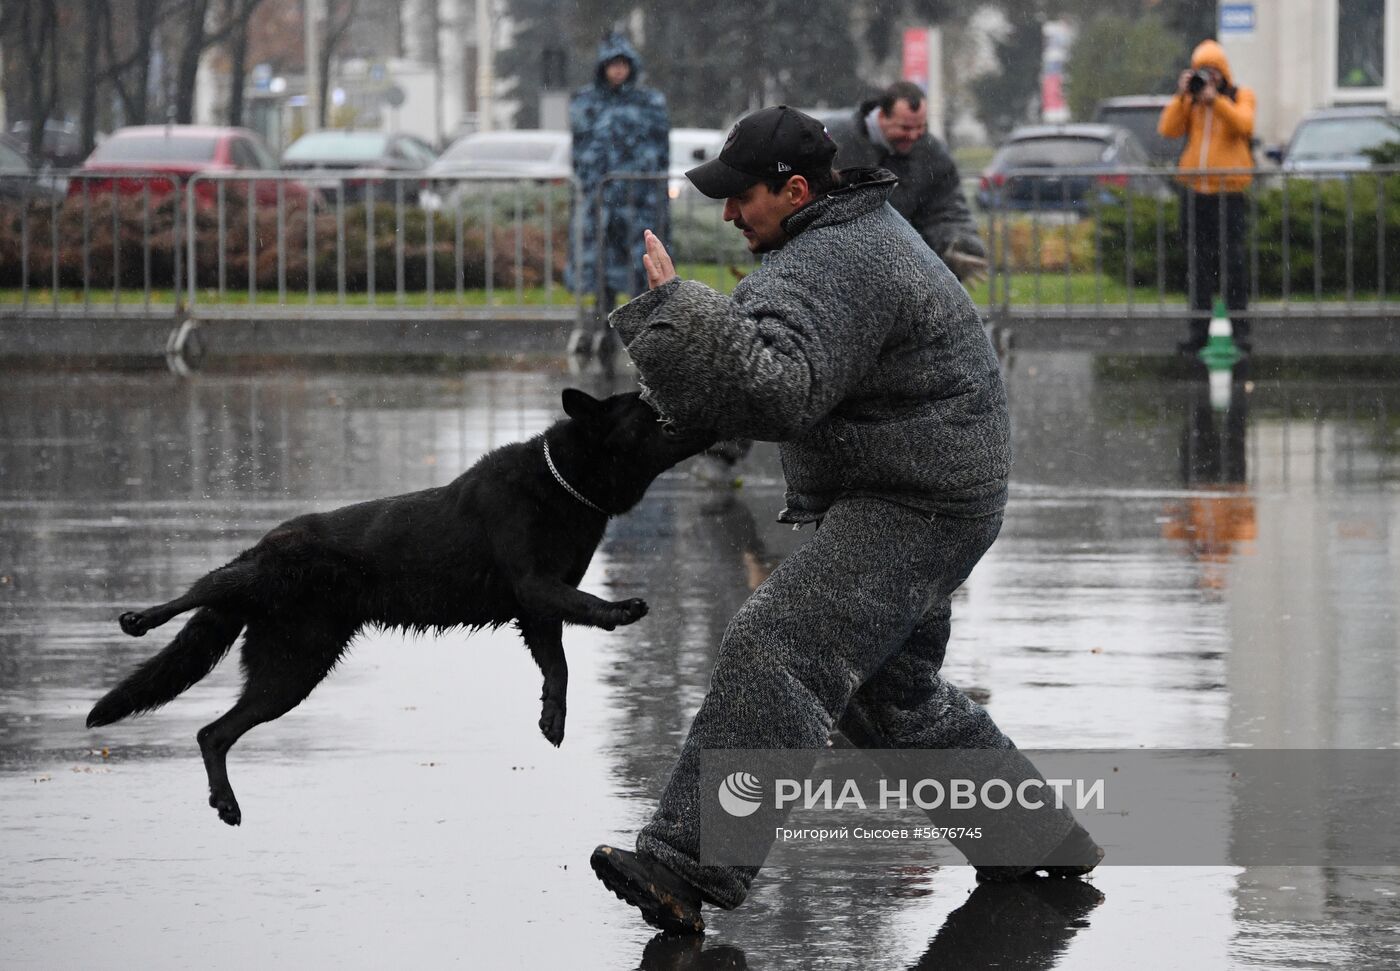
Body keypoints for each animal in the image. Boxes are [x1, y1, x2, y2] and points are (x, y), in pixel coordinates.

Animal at [90, 391, 711, 822]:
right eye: (646, 406)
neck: (565, 482)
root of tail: (270, 538)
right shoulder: (536, 588)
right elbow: (583, 605)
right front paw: (618, 610)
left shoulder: (536, 613)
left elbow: (557, 666)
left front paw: (552, 717)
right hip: (266, 591)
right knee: (204, 587)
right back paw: (141, 618)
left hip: (291, 671)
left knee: (212, 733)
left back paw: (225, 801)